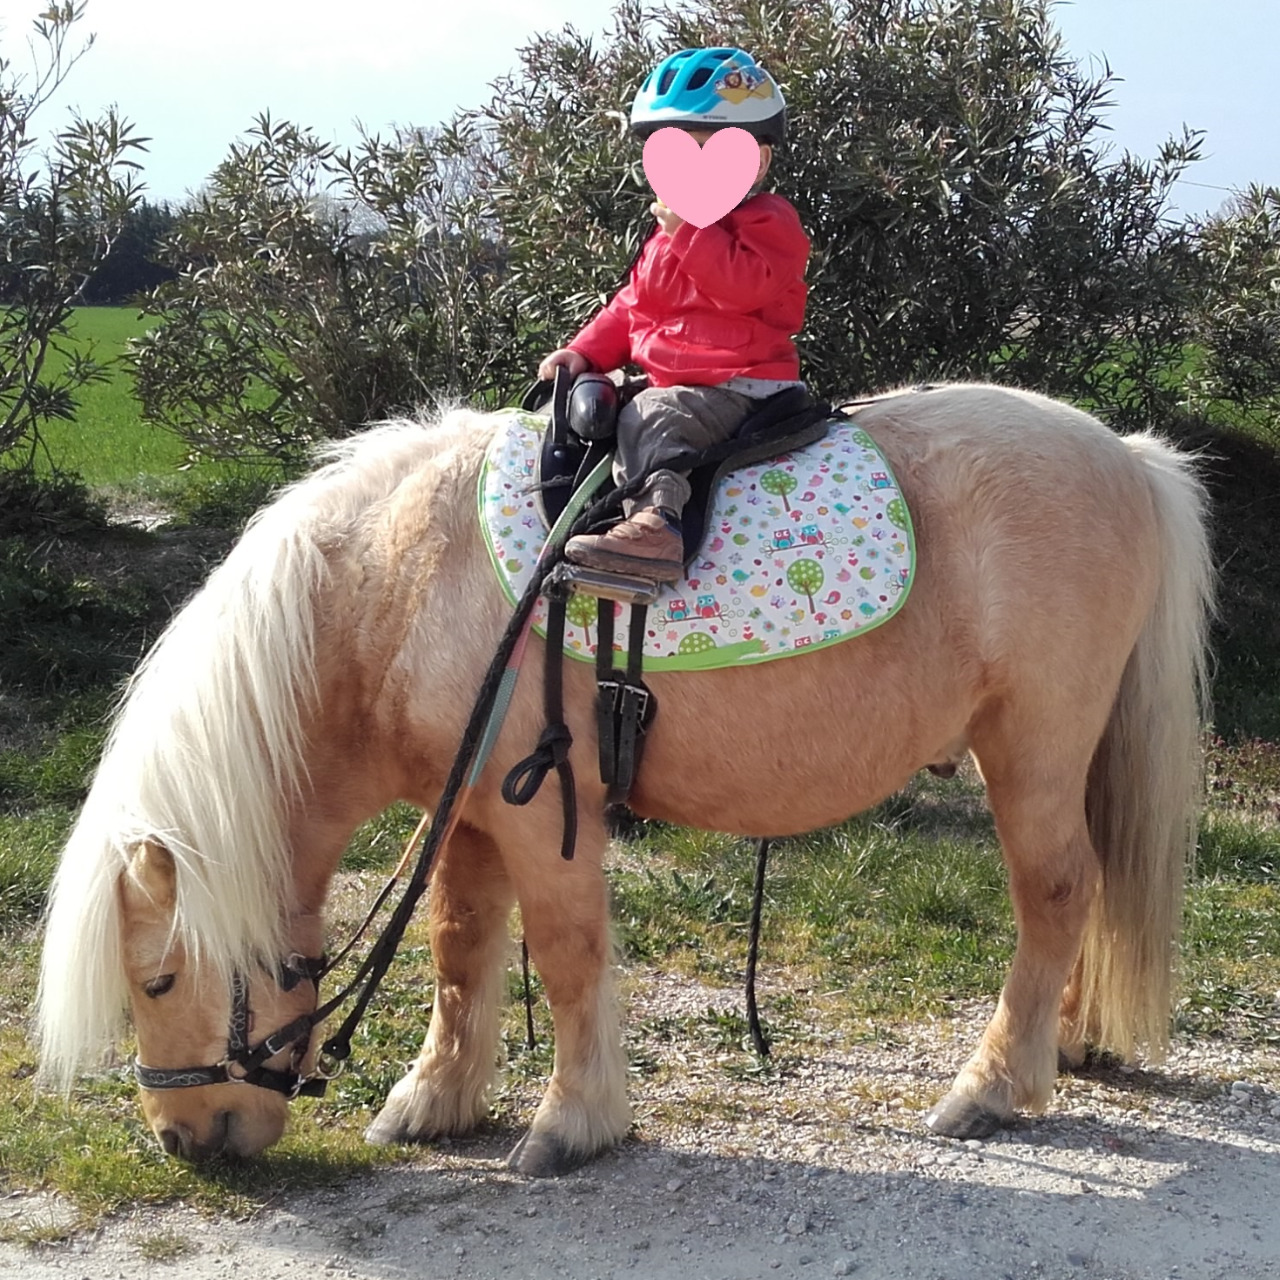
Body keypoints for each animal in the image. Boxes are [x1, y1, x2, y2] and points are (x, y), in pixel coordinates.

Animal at [35, 383, 1212, 1176]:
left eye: (155, 982)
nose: (182, 1140)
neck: (402, 587)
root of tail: (1126, 455)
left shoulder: (544, 811)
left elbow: (563, 957)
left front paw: (571, 1122)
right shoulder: (467, 814)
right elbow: (459, 949)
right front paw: (435, 1099)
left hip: (1031, 747)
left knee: (1054, 891)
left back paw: (993, 1085)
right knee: (1085, 889)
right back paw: (1062, 1046)